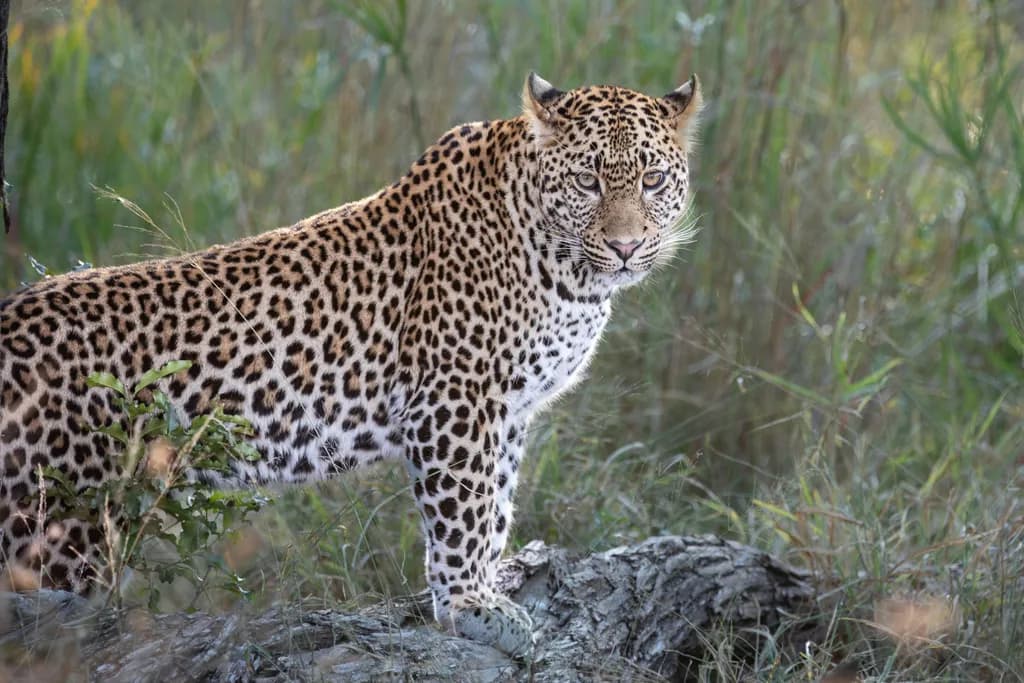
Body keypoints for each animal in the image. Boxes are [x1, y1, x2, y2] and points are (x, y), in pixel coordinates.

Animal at [0, 72, 703, 656]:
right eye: (587, 182)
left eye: (652, 181)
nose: (626, 246)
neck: (569, 272)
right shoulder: (455, 399)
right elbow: (464, 510)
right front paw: (472, 606)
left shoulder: (508, 409)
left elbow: (496, 505)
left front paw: (482, 590)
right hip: (61, 520)